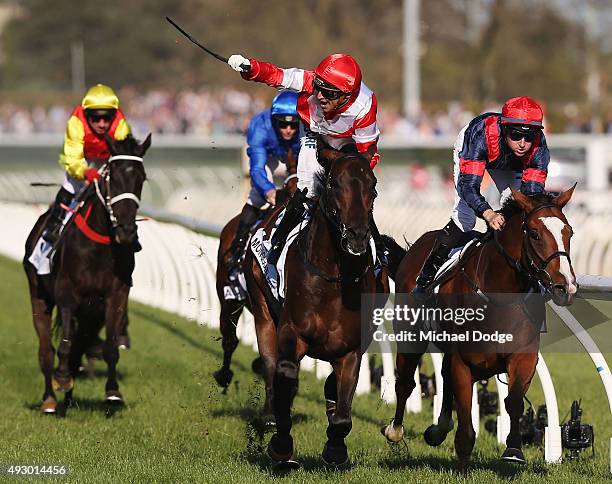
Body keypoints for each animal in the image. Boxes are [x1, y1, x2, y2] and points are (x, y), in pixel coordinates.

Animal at [23, 134, 151, 414]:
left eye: (142, 178)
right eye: (112, 177)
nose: (126, 231)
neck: (99, 244)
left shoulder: (114, 296)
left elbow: (110, 347)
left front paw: (113, 392)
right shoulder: (67, 294)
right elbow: (64, 344)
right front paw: (61, 378)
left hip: (91, 313)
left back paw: (69, 396)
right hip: (39, 294)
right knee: (46, 349)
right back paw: (50, 398)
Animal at [243, 146, 388, 466]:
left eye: (373, 187)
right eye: (335, 185)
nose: (357, 235)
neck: (333, 278)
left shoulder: (351, 349)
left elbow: (343, 414)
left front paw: (335, 449)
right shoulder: (292, 332)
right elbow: (286, 376)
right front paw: (281, 444)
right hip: (262, 310)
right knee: (270, 365)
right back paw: (269, 415)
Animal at [384, 187, 576, 470]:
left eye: (569, 232)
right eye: (534, 233)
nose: (567, 287)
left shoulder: (523, 357)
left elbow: (513, 400)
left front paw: (513, 449)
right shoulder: (464, 363)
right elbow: (465, 414)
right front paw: (464, 462)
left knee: (443, 375)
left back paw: (439, 428)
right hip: (410, 335)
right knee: (406, 381)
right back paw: (395, 430)